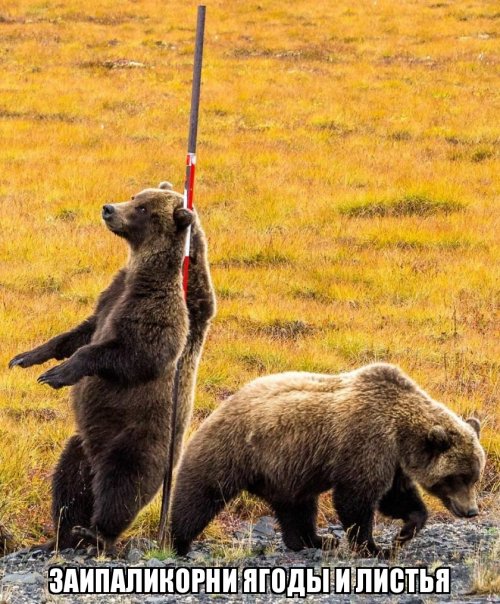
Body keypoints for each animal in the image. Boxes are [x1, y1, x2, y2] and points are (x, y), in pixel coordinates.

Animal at [8, 185, 214, 552]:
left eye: (143, 208)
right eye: (135, 196)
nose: (108, 209)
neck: (140, 269)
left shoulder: (155, 308)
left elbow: (137, 352)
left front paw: (58, 374)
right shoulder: (110, 296)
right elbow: (80, 332)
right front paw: (27, 357)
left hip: (136, 439)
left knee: (123, 485)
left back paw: (97, 533)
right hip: (82, 446)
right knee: (69, 483)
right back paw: (62, 535)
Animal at [169, 364, 484, 556]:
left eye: (474, 476)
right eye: (457, 477)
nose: (471, 511)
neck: (401, 433)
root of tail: (221, 405)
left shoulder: (392, 460)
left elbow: (397, 497)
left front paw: (405, 532)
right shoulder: (367, 443)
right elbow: (356, 499)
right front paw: (373, 547)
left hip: (287, 470)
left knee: (297, 507)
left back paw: (315, 540)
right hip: (231, 451)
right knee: (199, 495)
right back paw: (178, 543)